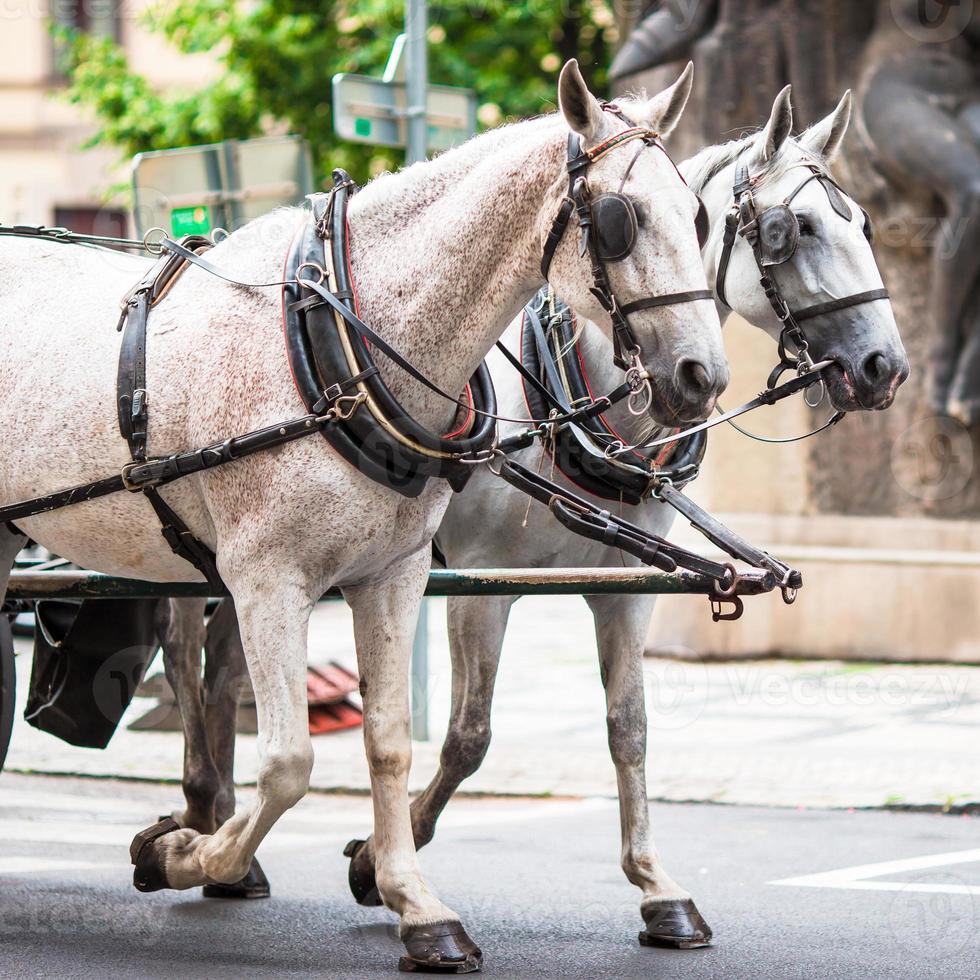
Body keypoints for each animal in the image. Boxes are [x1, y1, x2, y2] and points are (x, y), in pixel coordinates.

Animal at [0, 63, 728, 972]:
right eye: (620, 220)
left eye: (698, 216)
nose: (703, 376)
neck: (343, 339)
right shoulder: (268, 582)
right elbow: (289, 761)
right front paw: (179, 852)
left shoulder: (392, 575)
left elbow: (388, 738)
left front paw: (413, 901)